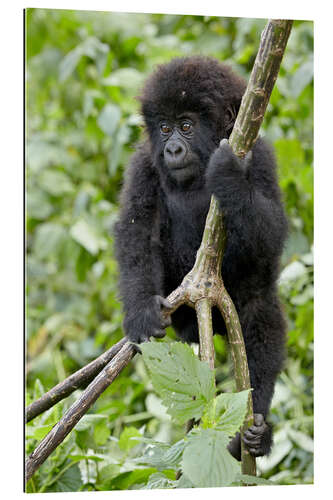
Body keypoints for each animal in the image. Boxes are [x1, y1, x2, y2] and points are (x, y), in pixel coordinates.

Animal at [113, 55, 286, 460]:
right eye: (164, 128)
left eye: (187, 126)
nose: (173, 150)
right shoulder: (143, 163)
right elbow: (136, 231)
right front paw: (141, 311)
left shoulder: (262, 156)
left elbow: (272, 235)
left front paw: (229, 175)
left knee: (261, 313)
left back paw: (254, 432)